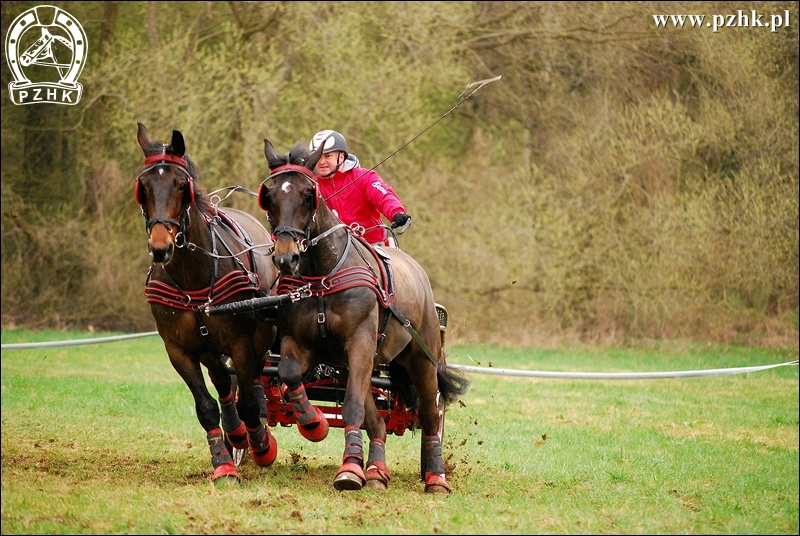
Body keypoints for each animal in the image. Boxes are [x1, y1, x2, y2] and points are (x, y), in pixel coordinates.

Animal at [133, 123, 280, 484]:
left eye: (181, 184)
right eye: (143, 186)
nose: (161, 247)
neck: (193, 276)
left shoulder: (241, 343)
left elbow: (248, 403)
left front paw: (261, 445)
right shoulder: (178, 350)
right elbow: (206, 407)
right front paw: (223, 464)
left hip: (259, 337)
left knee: (252, 381)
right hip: (209, 347)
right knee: (223, 381)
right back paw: (236, 434)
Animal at [256, 139, 468, 494]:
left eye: (308, 194)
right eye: (269, 195)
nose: (287, 257)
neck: (323, 276)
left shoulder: (360, 344)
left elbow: (352, 406)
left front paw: (349, 470)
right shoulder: (300, 344)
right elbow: (289, 374)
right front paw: (313, 423)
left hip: (420, 360)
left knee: (429, 415)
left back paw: (435, 476)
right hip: (359, 365)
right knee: (377, 422)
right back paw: (377, 472)